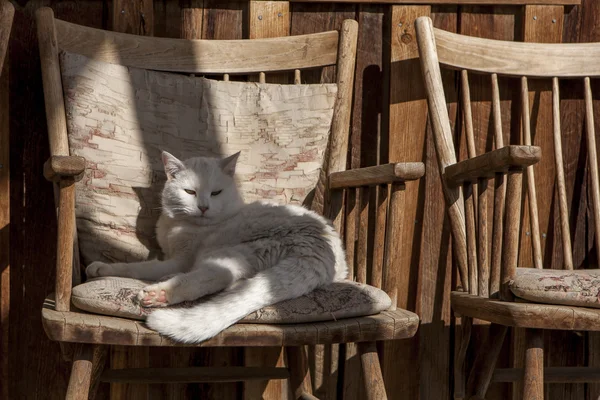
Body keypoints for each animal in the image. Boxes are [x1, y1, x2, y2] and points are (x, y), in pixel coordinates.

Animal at [84, 151, 346, 344]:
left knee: (209, 279)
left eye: (216, 192)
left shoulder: (179, 258)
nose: (203, 207)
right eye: (190, 192)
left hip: (229, 254)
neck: (177, 225)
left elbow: (137, 267)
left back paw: (158, 293)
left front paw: (101, 268)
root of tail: (320, 247)